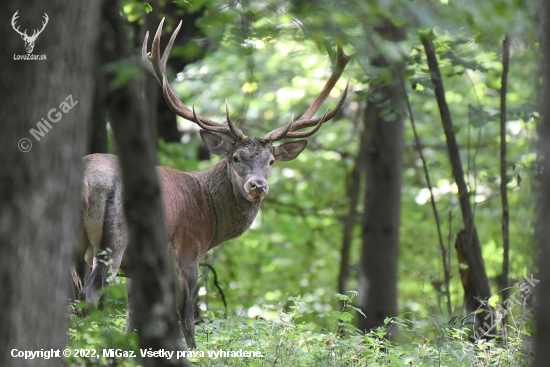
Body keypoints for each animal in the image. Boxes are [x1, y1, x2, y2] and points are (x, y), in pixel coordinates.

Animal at [72, 18, 354, 350]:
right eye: (236, 157)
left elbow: (133, 320)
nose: (258, 186)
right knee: (91, 294)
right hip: (114, 238)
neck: (209, 213)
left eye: (271, 161)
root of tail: (87, 179)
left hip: (79, 244)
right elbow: (187, 318)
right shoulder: (189, 249)